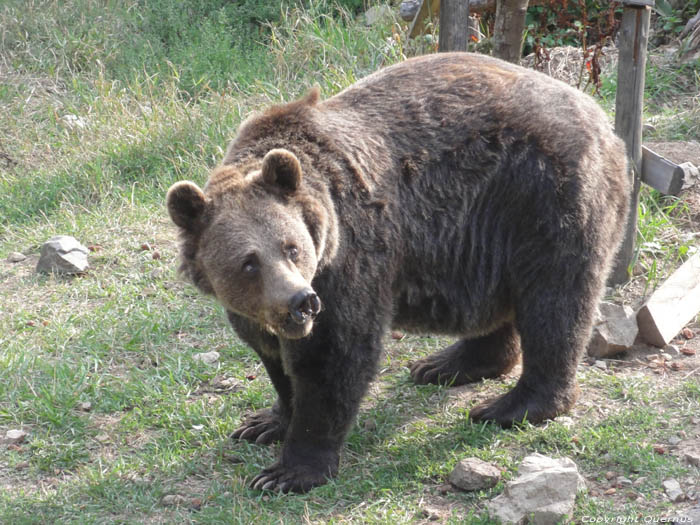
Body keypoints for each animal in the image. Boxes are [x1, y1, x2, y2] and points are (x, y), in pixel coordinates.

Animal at [165, 52, 628, 492]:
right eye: (248, 262)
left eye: (292, 247)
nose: (302, 302)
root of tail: (604, 121)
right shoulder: (258, 310)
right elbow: (275, 359)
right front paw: (265, 421)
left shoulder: (351, 259)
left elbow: (335, 355)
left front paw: (290, 470)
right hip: (492, 234)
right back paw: (446, 364)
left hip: (545, 195)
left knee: (554, 304)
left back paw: (512, 406)